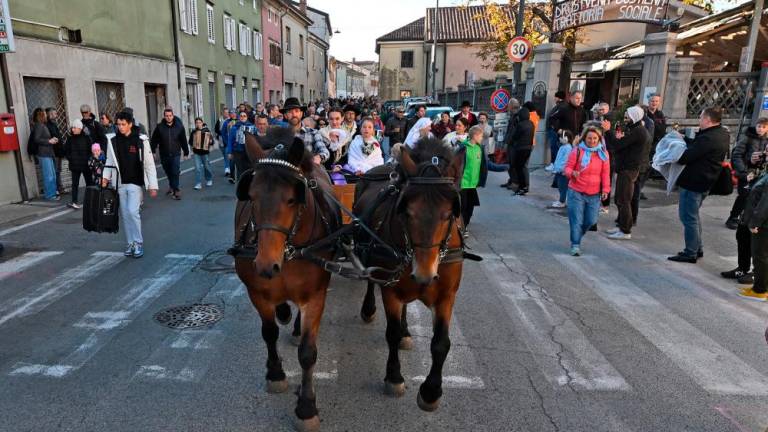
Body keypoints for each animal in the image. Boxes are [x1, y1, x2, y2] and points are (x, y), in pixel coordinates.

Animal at [232, 128, 340, 432]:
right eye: (251, 196)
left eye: (293, 198)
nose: (266, 265)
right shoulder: (256, 291)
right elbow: (269, 332)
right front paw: (275, 374)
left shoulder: (315, 295)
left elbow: (308, 353)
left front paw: (306, 407)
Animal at [352, 138, 464, 412]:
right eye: (407, 212)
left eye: (449, 214)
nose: (424, 274)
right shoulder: (390, 289)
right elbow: (390, 333)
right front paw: (394, 378)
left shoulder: (447, 296)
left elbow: (441, 342)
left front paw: (431, 391)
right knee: (371, 284)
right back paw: (369, 309)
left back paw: (406, 331)